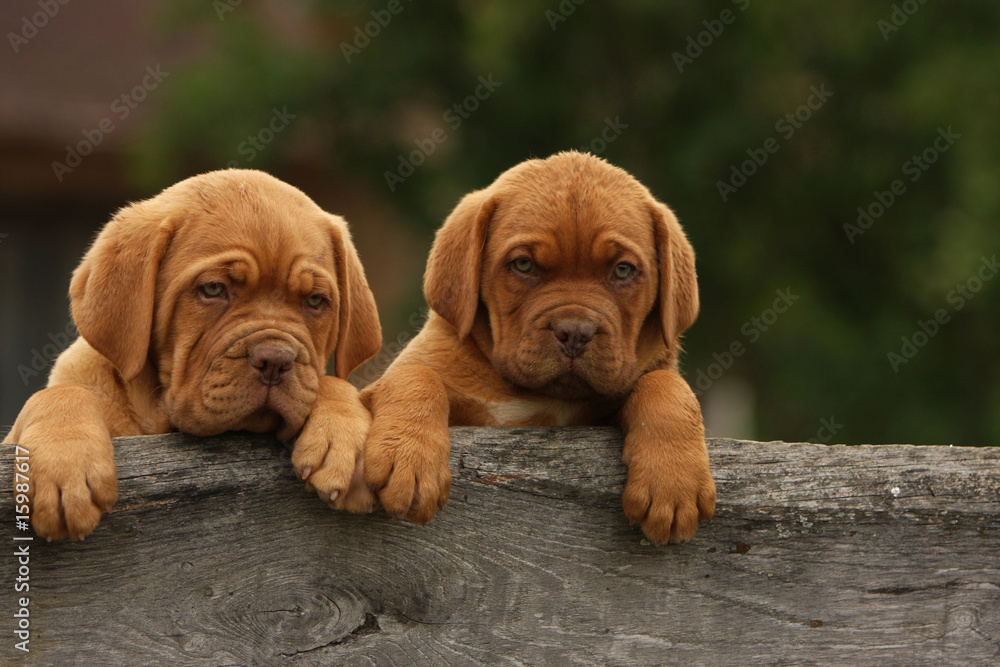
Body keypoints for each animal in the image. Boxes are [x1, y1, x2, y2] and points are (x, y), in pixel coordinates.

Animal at [3, 170, 382, 540]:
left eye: (315, 301)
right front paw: (64, 460)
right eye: (213, 289)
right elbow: (59, 393)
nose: (275, 360)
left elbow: (330, 383)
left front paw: (345, 432)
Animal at [364, 150, 716, 544]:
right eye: (523, 264)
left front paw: (673, 480)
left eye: (623, 270)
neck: (539, 397)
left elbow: (667, 386)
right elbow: (414, 376)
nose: (575, 332)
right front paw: (408, 457)